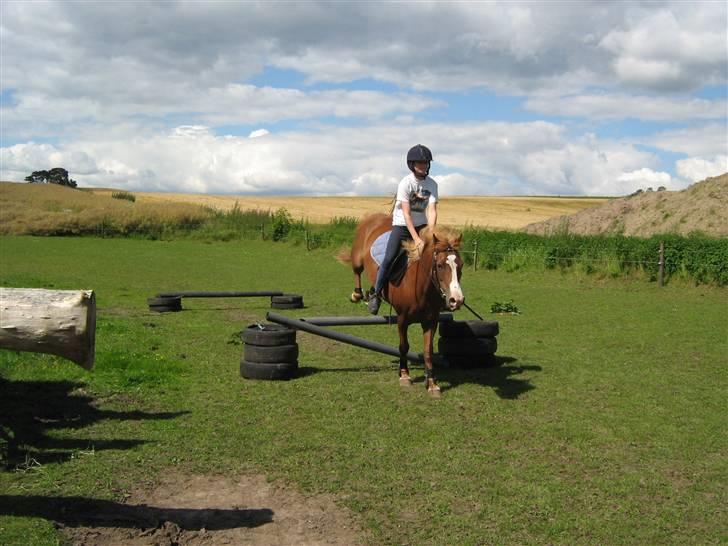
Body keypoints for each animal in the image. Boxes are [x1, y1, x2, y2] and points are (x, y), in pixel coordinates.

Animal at [344, 210, 464, 394]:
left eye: (460, 266)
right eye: (440, 265)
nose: (456, 300)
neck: (421, 287)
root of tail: (375, 216)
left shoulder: (431, 321)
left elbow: (428, 350)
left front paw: (432, 383)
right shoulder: (402, 319)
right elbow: (404, 346)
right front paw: (405, 375)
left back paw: (373, 298)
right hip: (358, 258)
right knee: (357, 270)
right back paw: (358, 295)